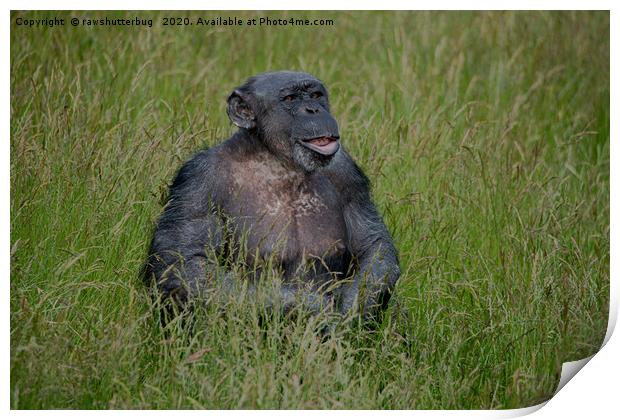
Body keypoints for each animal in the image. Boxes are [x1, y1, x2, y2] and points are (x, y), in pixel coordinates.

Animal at [143, 71, 400, 322]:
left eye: (316, 95)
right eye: (290, 99)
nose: (314, 109)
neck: (277, 161)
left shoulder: (348, 175)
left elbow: (373, 246)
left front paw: (351, 307)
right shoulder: (198, 181)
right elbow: (185, 261)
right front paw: (313, 307)